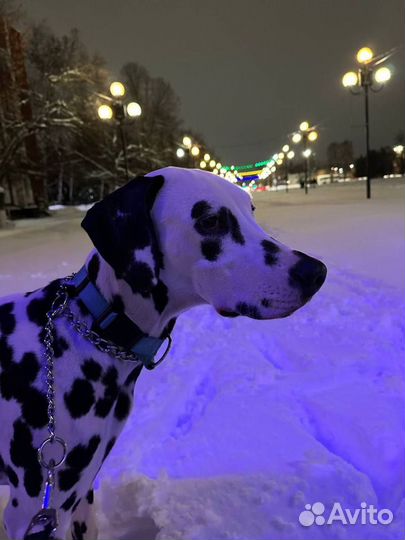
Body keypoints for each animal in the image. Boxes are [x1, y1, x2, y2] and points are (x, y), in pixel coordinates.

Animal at [0, 167, 326, 536]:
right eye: (210, 221)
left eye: (251, 211)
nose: (316, 272)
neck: (91, 328)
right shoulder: (33, 509)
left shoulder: (79, 494)